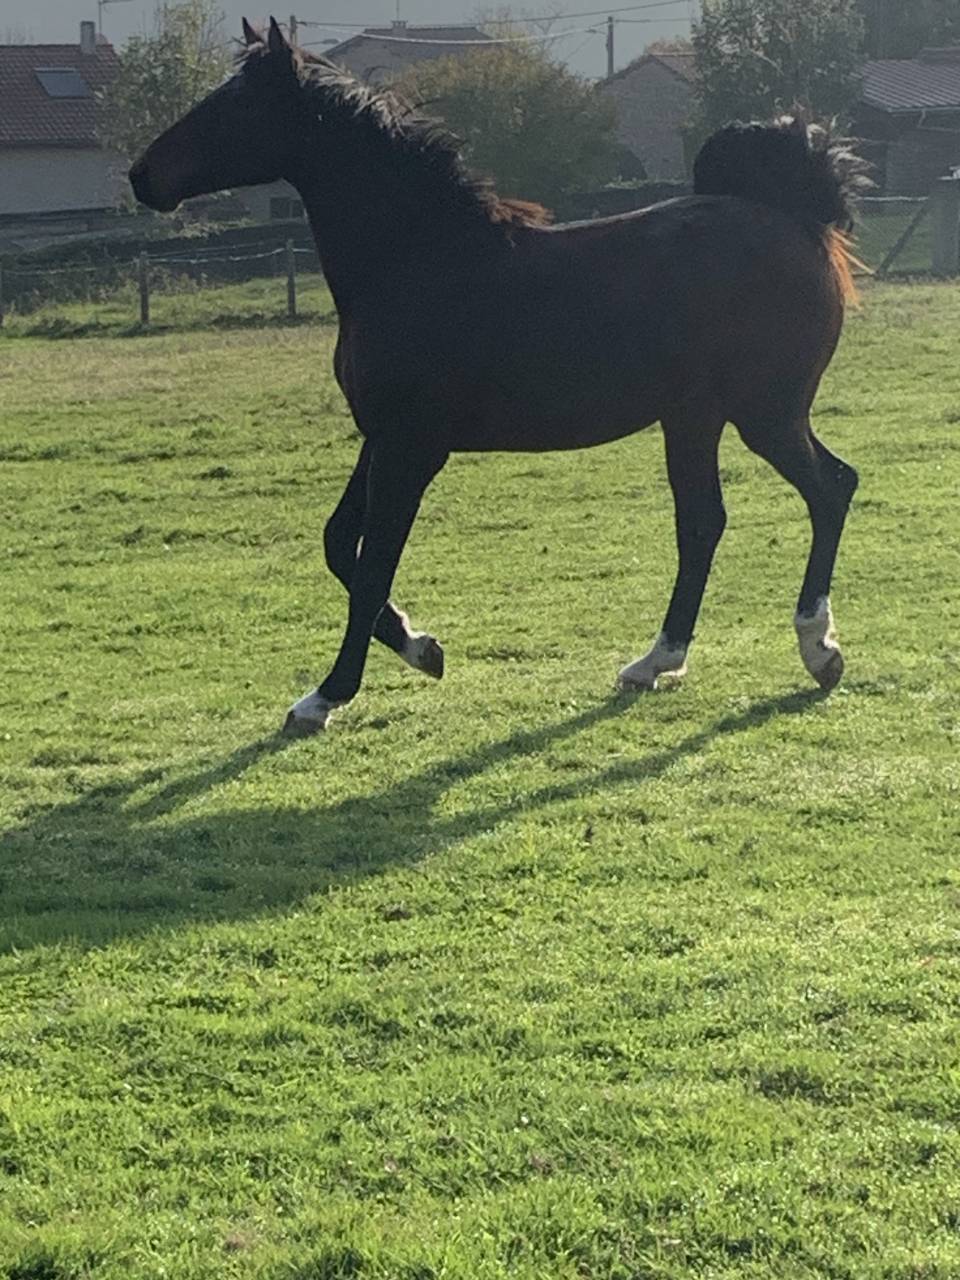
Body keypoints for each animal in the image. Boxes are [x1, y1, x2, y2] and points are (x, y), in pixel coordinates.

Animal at [129, 17, 866, 737]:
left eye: (236, 104)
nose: (141, 176)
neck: (418, 259)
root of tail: (803, 219)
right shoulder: (382, 438)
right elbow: (342, 545)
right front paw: (423, 648)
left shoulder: (411, 449)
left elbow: (372, 565)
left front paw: (326, 696)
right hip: (695, 417)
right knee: (705, 521)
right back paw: (656, 662)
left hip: (764, 414)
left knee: (829, 488)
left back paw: (817, 648)